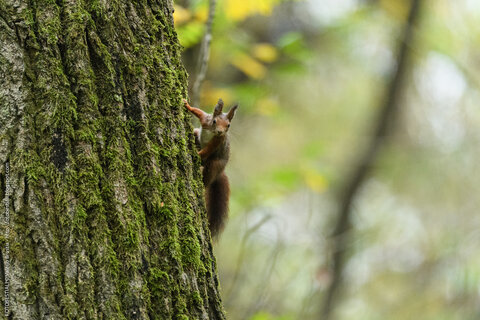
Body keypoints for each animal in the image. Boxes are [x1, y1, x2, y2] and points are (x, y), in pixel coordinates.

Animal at [184, 98, 238, 238]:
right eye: (214, 121)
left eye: (228, 125)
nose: (220, 131)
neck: (212, 132)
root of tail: (220, 172)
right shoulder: (205, 120)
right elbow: (199, 112)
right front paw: (186, 104)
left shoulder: (217, 141)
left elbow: (207, 150)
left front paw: (197, 155)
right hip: (197, 133)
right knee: (196, 133)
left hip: (215, 165)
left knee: (207, 178)